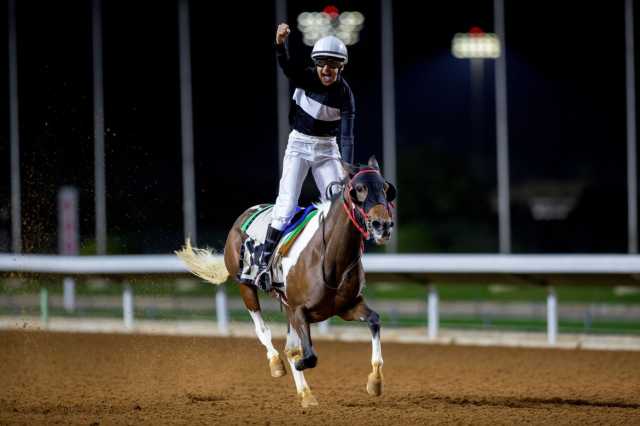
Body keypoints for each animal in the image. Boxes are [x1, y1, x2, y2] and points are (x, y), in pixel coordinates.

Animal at [175, 156, 396, 406]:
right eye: (359, 189)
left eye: (386, 189)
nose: (383, 225)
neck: (329, 256)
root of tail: (243, 216)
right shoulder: (299, 310)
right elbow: (306, 355)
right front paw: (296, 364)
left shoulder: (346, 307)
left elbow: (374, 321)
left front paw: (375, 381)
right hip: (246, 286)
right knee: (263, 330)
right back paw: (276, 364)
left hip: (287, 305)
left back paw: (306, 394)